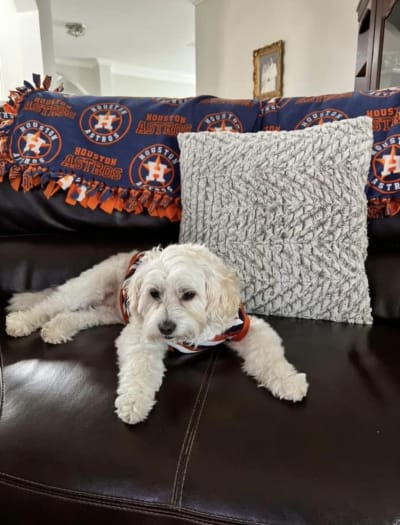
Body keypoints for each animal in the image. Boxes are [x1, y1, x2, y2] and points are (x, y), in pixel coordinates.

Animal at [5, 244, 306, 424]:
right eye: (154, 294)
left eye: (189, 294)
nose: (166, 328)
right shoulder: (139, 334)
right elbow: (140, 371)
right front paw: (134, 403)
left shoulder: (243, 327)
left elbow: (269, 357)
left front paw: (289, 381)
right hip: (85, 287)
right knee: (50, 304)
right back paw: (20, 322)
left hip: (106, 313)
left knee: (75, 316)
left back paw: (57, 329)